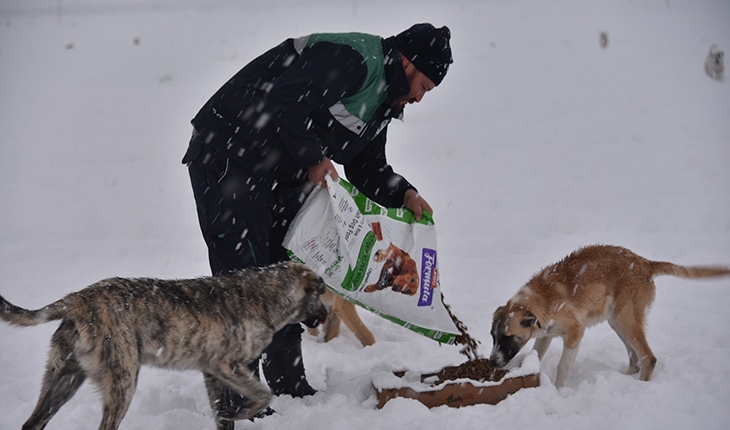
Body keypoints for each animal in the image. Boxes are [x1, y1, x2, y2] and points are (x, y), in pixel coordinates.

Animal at [490, 244, 728, 388]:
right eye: (493, 337)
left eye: (507, 337)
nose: (492, 362)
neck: (541, 300)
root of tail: (646, 263)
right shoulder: (545, 335)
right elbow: (536, 355)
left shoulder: (575, 332)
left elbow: (563, 366)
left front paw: (558, 391)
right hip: (617, 321)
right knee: (634, 355)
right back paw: (626, 377)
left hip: (625, 318)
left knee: (647, 356)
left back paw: (640, 387)